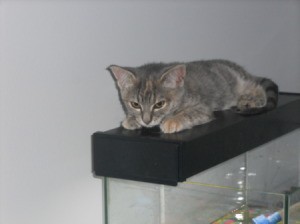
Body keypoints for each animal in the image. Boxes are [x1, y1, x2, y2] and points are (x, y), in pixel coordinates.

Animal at [106, 59, 278, 133]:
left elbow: (189, 114)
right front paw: (131, 119)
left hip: (236, 82)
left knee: (255, 85)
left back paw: (251, 99)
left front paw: (172, 121)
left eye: (159, 104)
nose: (146, 120)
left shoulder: (203, 108)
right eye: (135, 104)